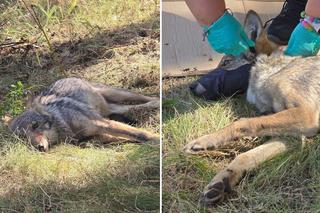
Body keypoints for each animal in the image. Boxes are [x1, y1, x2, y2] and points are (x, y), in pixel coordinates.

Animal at [9, 78, 159, 151]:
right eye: (23, 138)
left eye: (35, 125)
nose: (39, 148)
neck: (65, 124)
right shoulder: (97, 135)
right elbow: (126, 137)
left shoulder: (102, 123)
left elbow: (139, 133)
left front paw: (157, 138)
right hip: (112, 108)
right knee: (130, 108)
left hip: (118, 94)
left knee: (147, 97)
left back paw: (159, 100)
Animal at [182, 11, 320, 205]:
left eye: (225, 63)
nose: (191, 86)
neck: (275, 67)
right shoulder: (292, 136)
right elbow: (245, 155)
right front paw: (221, 180)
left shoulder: (304, 114)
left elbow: (243, 123)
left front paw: (206, 141)